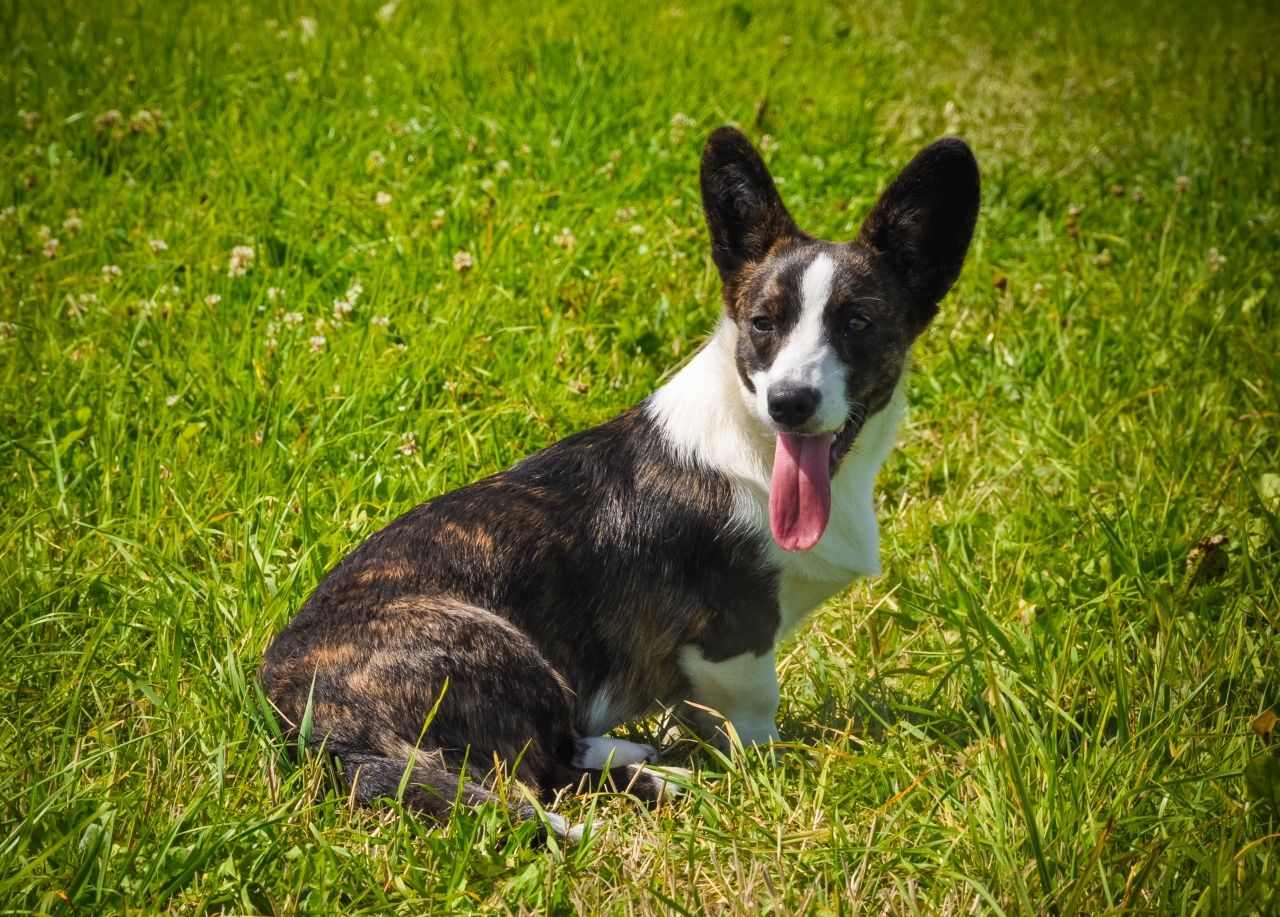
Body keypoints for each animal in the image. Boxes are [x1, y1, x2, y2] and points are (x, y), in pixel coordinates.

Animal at [259, 127, 977, 840]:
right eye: (762, 324)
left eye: (857, 323)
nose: (789, 402)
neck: (758, 444)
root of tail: (304, 710)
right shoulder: (736, 639)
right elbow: (754, 718)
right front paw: (766, 769)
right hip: (502, 647)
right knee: (536, 770)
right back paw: (658, 778)